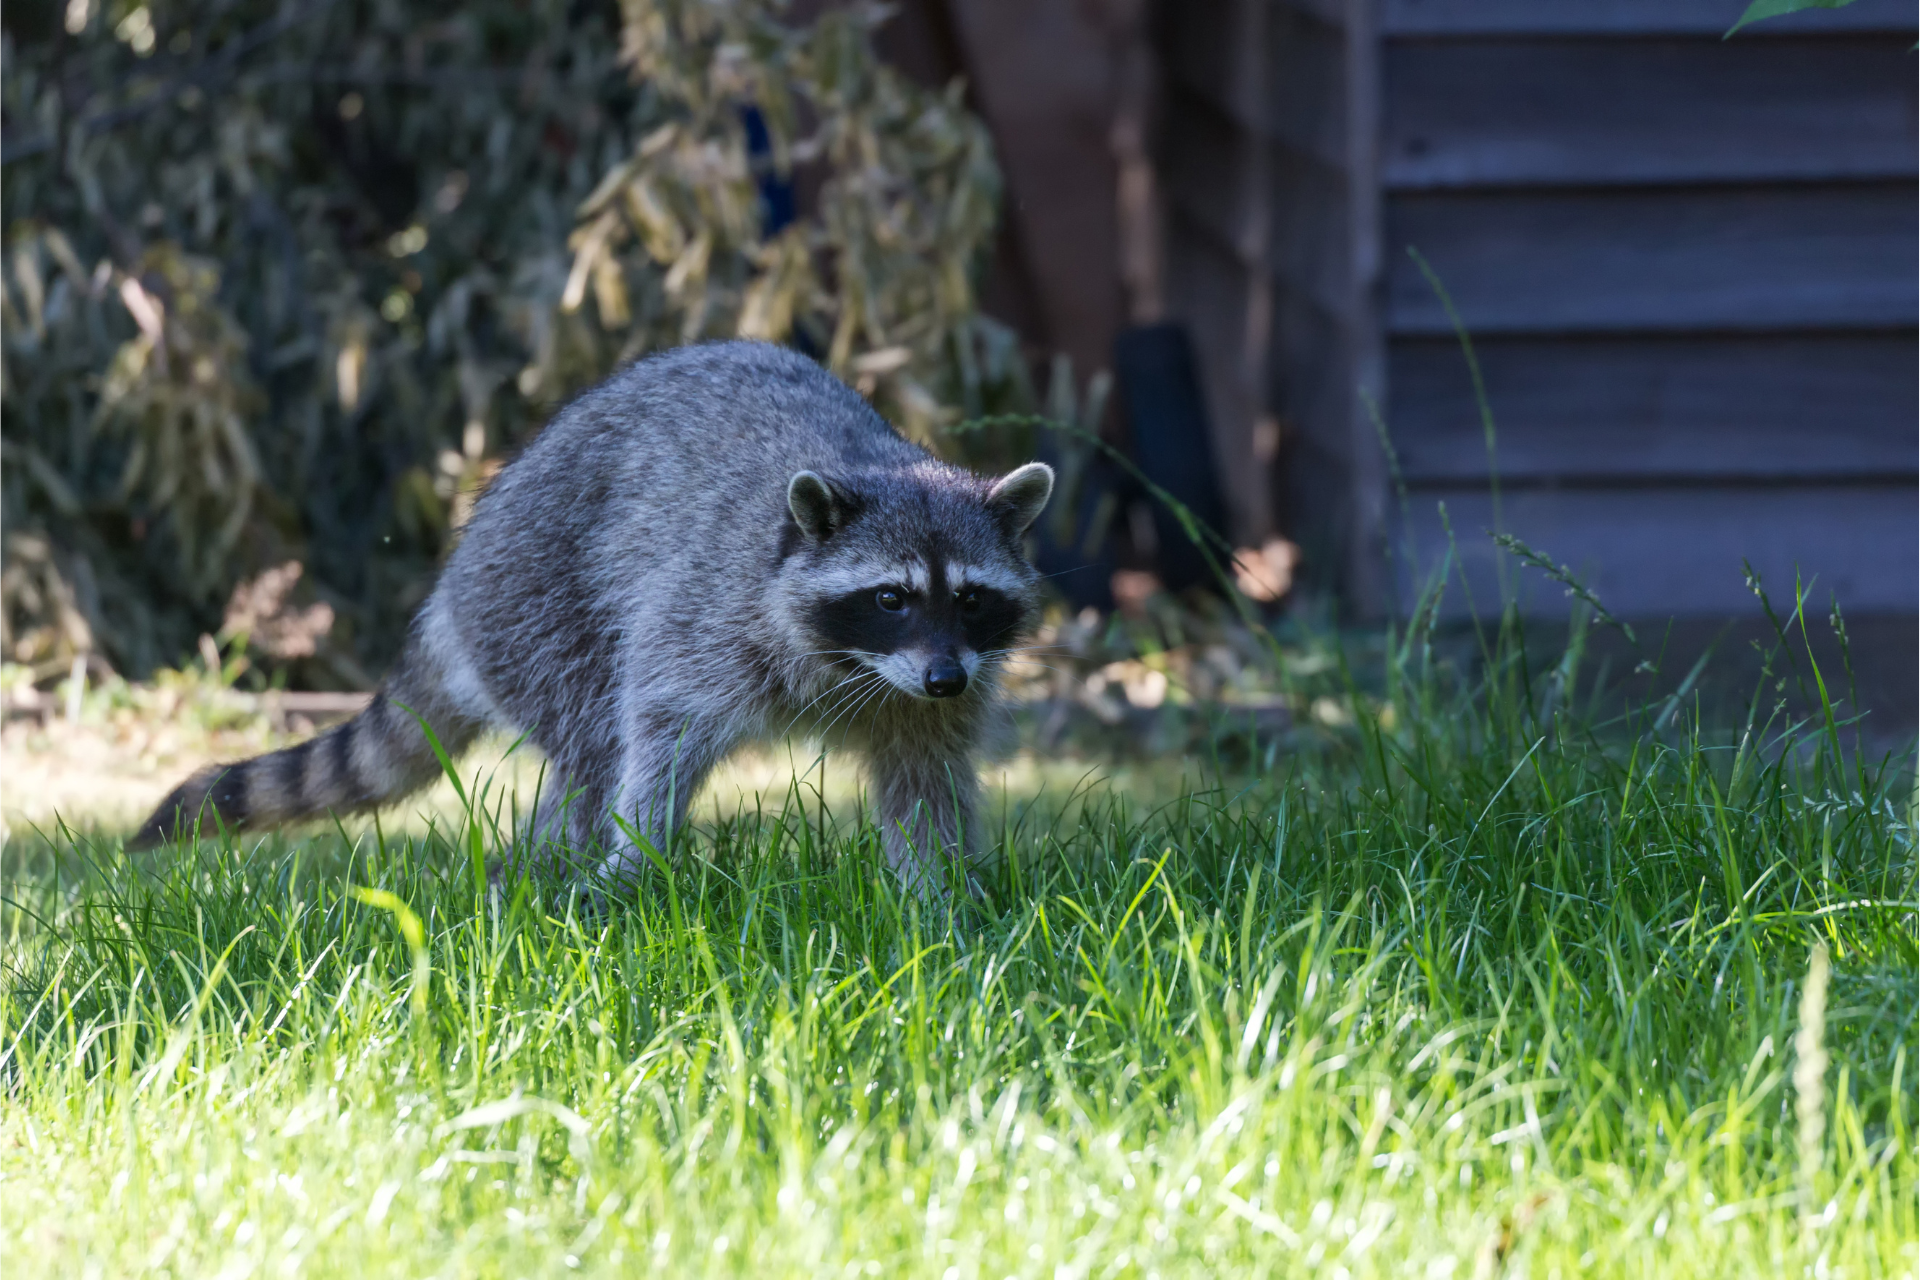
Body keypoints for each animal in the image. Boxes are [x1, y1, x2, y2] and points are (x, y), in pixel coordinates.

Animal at [131, 341, 1053, 898]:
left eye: (971, 597)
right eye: (891, 598)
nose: (944, 677)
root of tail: (453, 583)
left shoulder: (929, 691)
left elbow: (923, 778)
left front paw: (940, 896)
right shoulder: (706, 615)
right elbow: (659, 733)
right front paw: (635, 856)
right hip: (538, 599)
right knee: (592, 742)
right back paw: (548, 869)